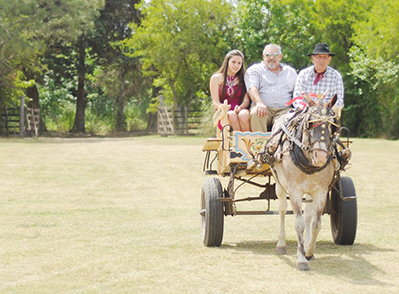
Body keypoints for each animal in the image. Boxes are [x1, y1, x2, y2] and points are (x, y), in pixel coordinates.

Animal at [262, 94, 346, 272]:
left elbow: (316, 223)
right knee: (282, 209)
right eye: (310, 123)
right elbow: (299, 223)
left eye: (332, 125)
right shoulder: (294, 191)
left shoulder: (321, 191)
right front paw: (301, 259)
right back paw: (281, 244)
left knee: (308, 213)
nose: (321, 156)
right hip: (280, 184)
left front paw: (308, 251)